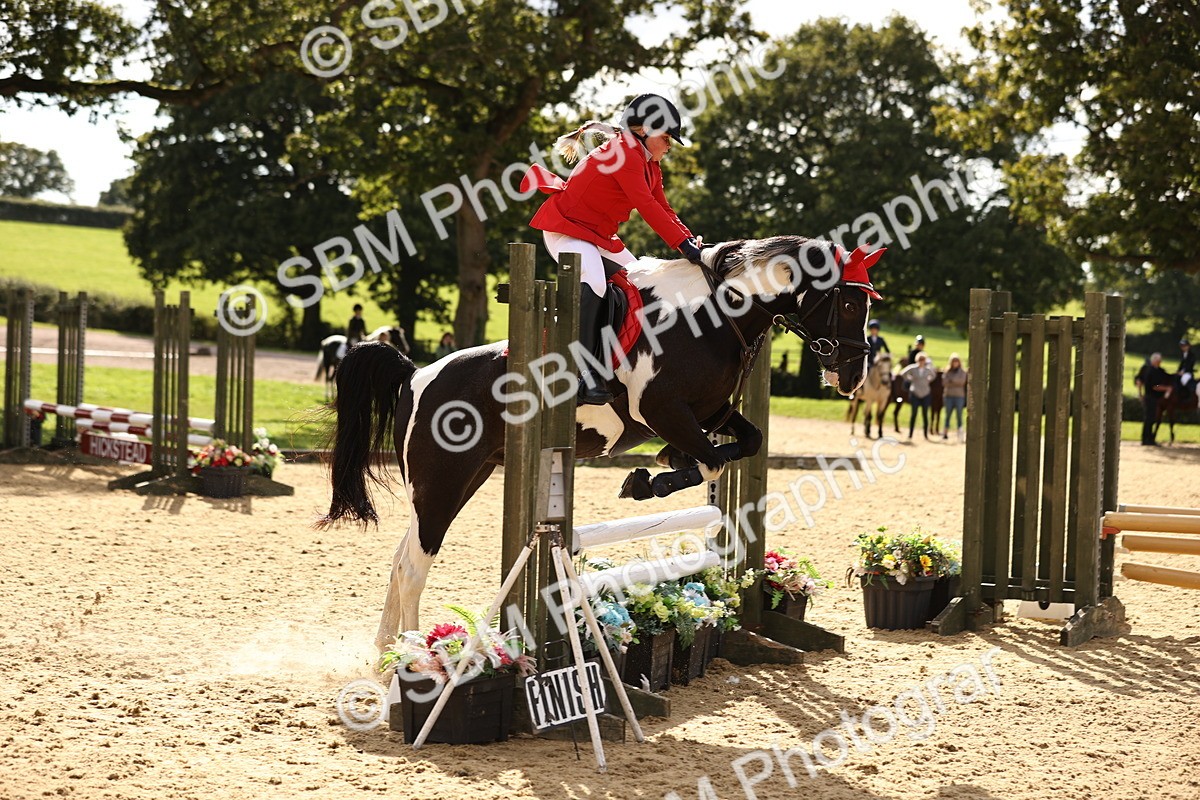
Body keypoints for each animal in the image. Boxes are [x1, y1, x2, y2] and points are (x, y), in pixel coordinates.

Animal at [317, 236, 883, 650]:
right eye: (848, 302)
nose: (854, 377)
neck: (716, 316)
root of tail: (416, 375)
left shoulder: (711, 413)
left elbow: (742, 445)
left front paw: (658, 470)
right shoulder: (663, 411)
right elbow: (711, 463)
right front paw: (648, 479)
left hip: (464, 477)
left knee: (402, 556)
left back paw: (384, 650)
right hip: (443, 480)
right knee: (414, 565)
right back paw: (410, 656)